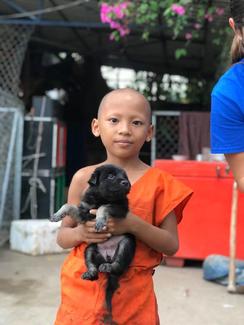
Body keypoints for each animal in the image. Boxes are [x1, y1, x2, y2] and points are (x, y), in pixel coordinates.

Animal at [50, 163, 136, 316]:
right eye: (110, 176)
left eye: (124, 176)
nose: (126, 183)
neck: (101, 197)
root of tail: (107, 258)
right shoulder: (83, 213)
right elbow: (68, 205)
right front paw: (57, 215)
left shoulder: (119, 208)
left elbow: (104, 207)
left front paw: (100, 221)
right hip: (91, 248)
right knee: (92, 264)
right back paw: (90, 273)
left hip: (126, 243)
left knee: (119, 264)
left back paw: (109, 266)